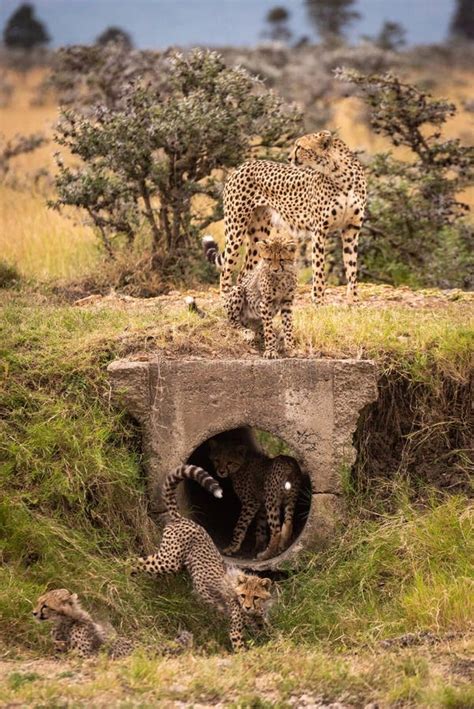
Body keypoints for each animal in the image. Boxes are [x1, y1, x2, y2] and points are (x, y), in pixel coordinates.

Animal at [131, 462, 272, 648]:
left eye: (255, 597)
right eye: (243, 596)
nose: (247, 607)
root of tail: (181, 518)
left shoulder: (260, 620)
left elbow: (271, 631)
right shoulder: (236, 630)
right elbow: (242, 647)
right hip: (168, 561)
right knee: (134, 560)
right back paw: (123, 573)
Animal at [212, 130, 366, 304]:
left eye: (300, 147)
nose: (289, 158)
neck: (341, 176)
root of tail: (243, 165)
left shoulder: (351, 228)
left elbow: (351, 267)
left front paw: (354, 299)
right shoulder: (320, 230)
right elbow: (319, 268)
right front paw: (318, 301)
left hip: (259, 233)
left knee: (244, 272)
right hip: (236, 229)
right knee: (226, 269)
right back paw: (226, 298)